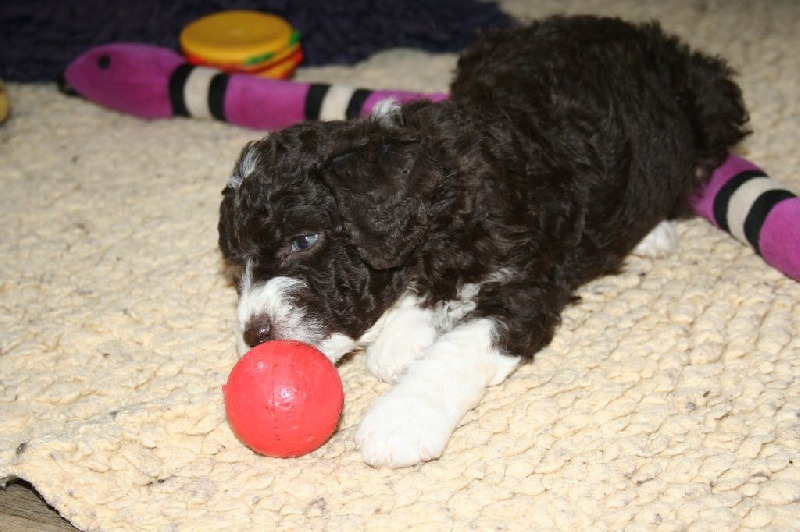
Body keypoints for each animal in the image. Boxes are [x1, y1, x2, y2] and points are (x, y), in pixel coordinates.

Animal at [218, 15, 748, 467]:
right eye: (237, 263)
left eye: (304, 239)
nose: (254, 336)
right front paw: (402, 336)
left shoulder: (525, 288)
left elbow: (458, 349)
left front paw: (401, 419)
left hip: (711, 101)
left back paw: (655, 230)